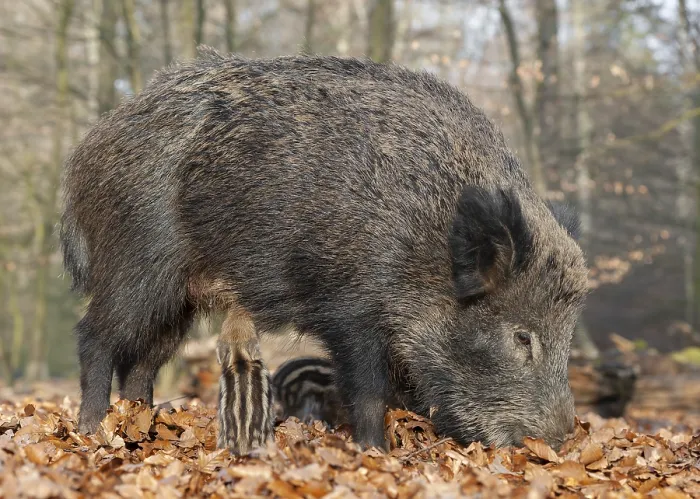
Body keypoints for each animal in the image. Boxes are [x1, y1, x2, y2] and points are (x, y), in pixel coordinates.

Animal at [59, 48, 589, 454]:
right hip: (139, 264)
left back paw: (141, 424)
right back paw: (94, 428)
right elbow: (370, 390)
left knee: (144, 359)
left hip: (179, 301)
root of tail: (85, 153)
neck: (427, 246)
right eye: (522, 337)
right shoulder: (352, 308)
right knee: (95, 336)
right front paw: (375, 450)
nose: (560, 441)